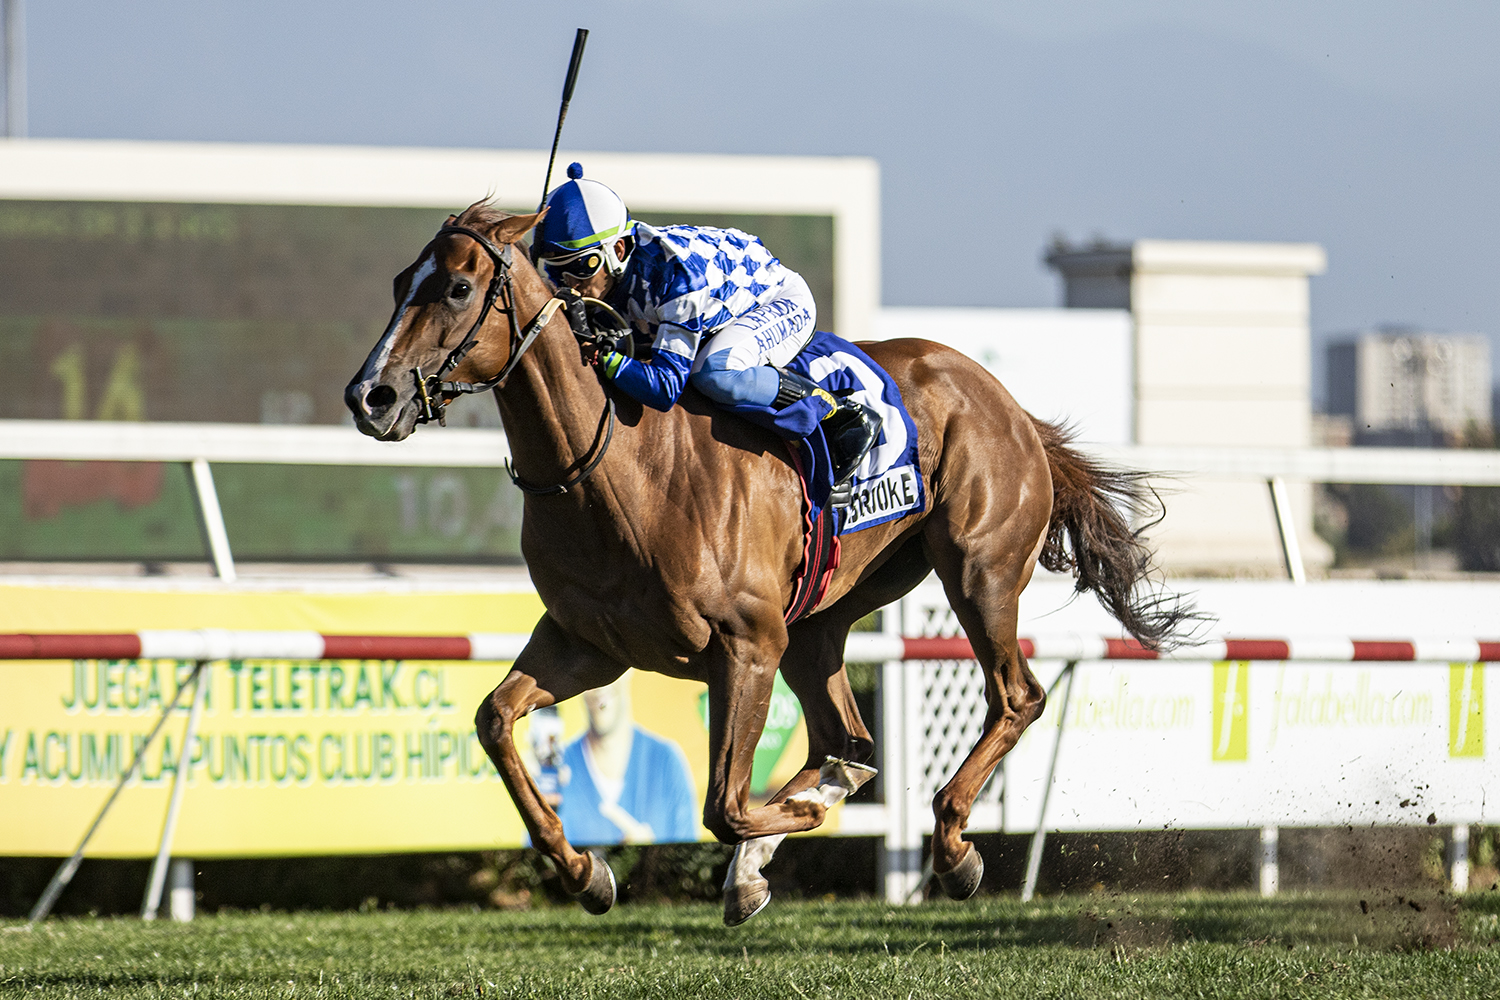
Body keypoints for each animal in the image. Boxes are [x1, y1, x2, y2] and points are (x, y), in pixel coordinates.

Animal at [344, 204, 1191, 923]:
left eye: (458, 287)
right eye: (398, 283)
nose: (369, 396)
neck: (617, 470)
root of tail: (1006, 402)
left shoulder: (746, 645)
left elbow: (723, 804)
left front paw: (784, 831)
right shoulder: (589, 643)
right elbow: (494, 720)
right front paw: (586, 872)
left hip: (976, 571)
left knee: (1015, 697)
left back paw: (950, 849)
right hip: (825, 616)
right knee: (847, 739)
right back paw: (799, 831)